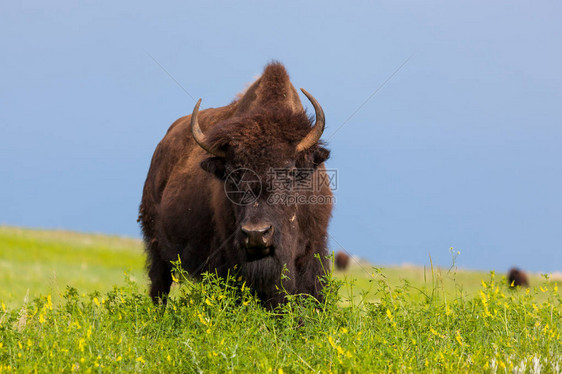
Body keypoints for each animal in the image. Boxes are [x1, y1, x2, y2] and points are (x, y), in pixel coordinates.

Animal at [139, 62, 332, 308]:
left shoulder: (312, 251)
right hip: (157, 249)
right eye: (233, 175)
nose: (256, 234)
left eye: (290, 172)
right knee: (159, 287)